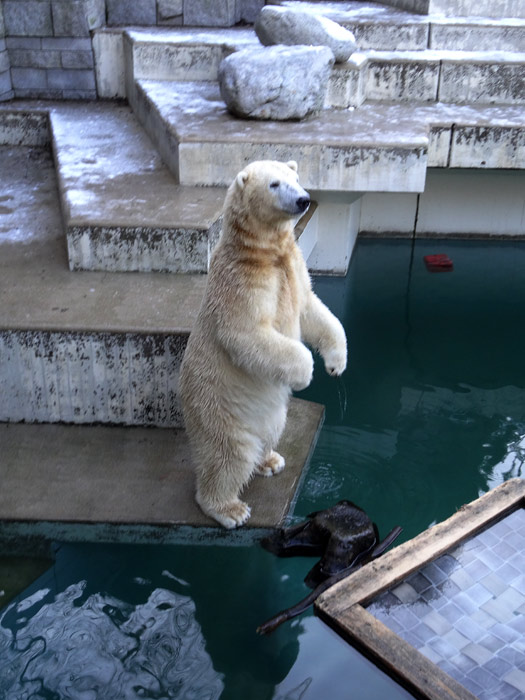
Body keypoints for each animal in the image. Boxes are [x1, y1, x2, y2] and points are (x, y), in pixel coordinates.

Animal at [178, 160, 346, 532]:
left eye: (296, 178)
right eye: (274, 184)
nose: (303, 200)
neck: (262, 253)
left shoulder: (293, 268)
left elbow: (312, 309)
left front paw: (336, 363)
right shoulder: (241, 283)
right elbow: (248, 333)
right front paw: (305, 373)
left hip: (269, 414)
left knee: (271, 429)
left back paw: (270, 460)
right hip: (218, 410)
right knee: (229, 457)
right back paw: (229, 508)